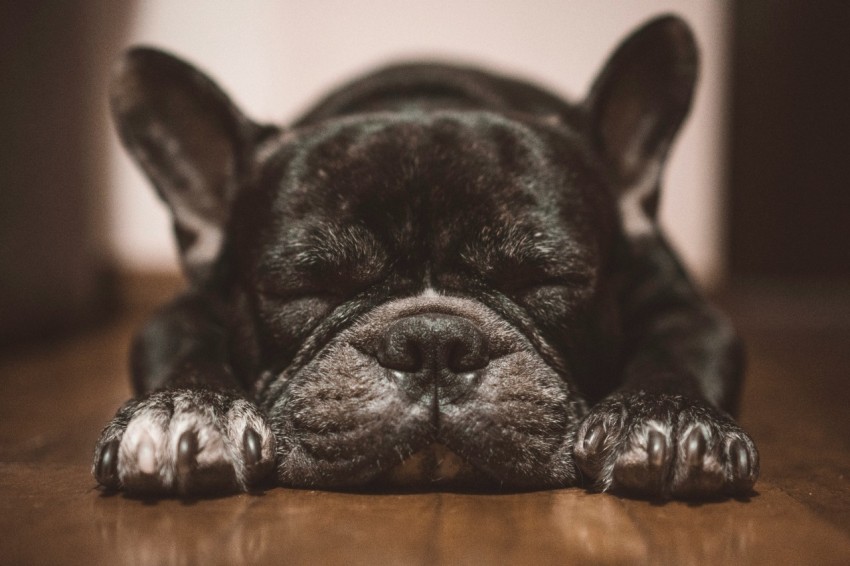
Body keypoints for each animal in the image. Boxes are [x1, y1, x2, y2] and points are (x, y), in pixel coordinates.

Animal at [91, 15, 756, 500]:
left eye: (545, 279)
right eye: (304, 289)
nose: (434, 341)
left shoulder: (685, 310)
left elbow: (674, 357)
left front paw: (668, 421)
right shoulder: (178, 314)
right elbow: (186, 354)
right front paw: (185, 412)